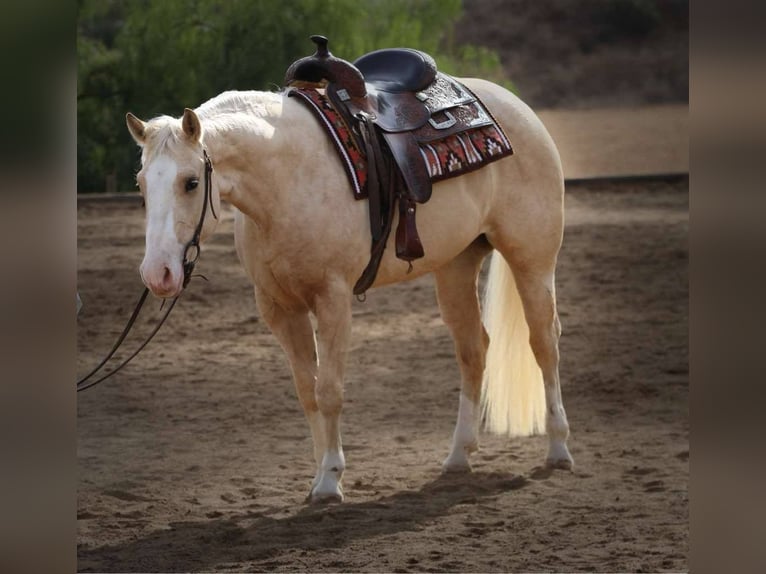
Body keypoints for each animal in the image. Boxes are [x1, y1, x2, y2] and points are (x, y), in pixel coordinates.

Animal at [125, 77, 573, 503]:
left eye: (191, 182)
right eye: (141, 185)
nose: (157, 274)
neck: (286, 179)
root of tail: (516, 108)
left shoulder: (333, 301)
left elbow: (329, 391)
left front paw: (330, 480)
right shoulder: (278, 308)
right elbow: (307, 392)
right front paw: (318, 475)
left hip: (532, 261)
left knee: (544, 342)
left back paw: (558, 450)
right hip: (456, 267)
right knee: (474, 350)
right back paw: (459, 456)